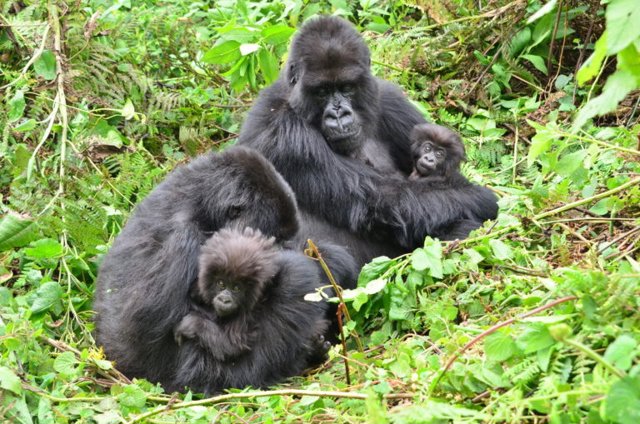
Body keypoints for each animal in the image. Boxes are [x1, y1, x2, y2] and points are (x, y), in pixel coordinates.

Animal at [238, 15, 498, 262]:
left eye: (347, 88)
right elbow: (388, 202)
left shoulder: (390, 99)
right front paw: (485, 199)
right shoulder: (285, 134)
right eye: (322, 91)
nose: (339, 114)